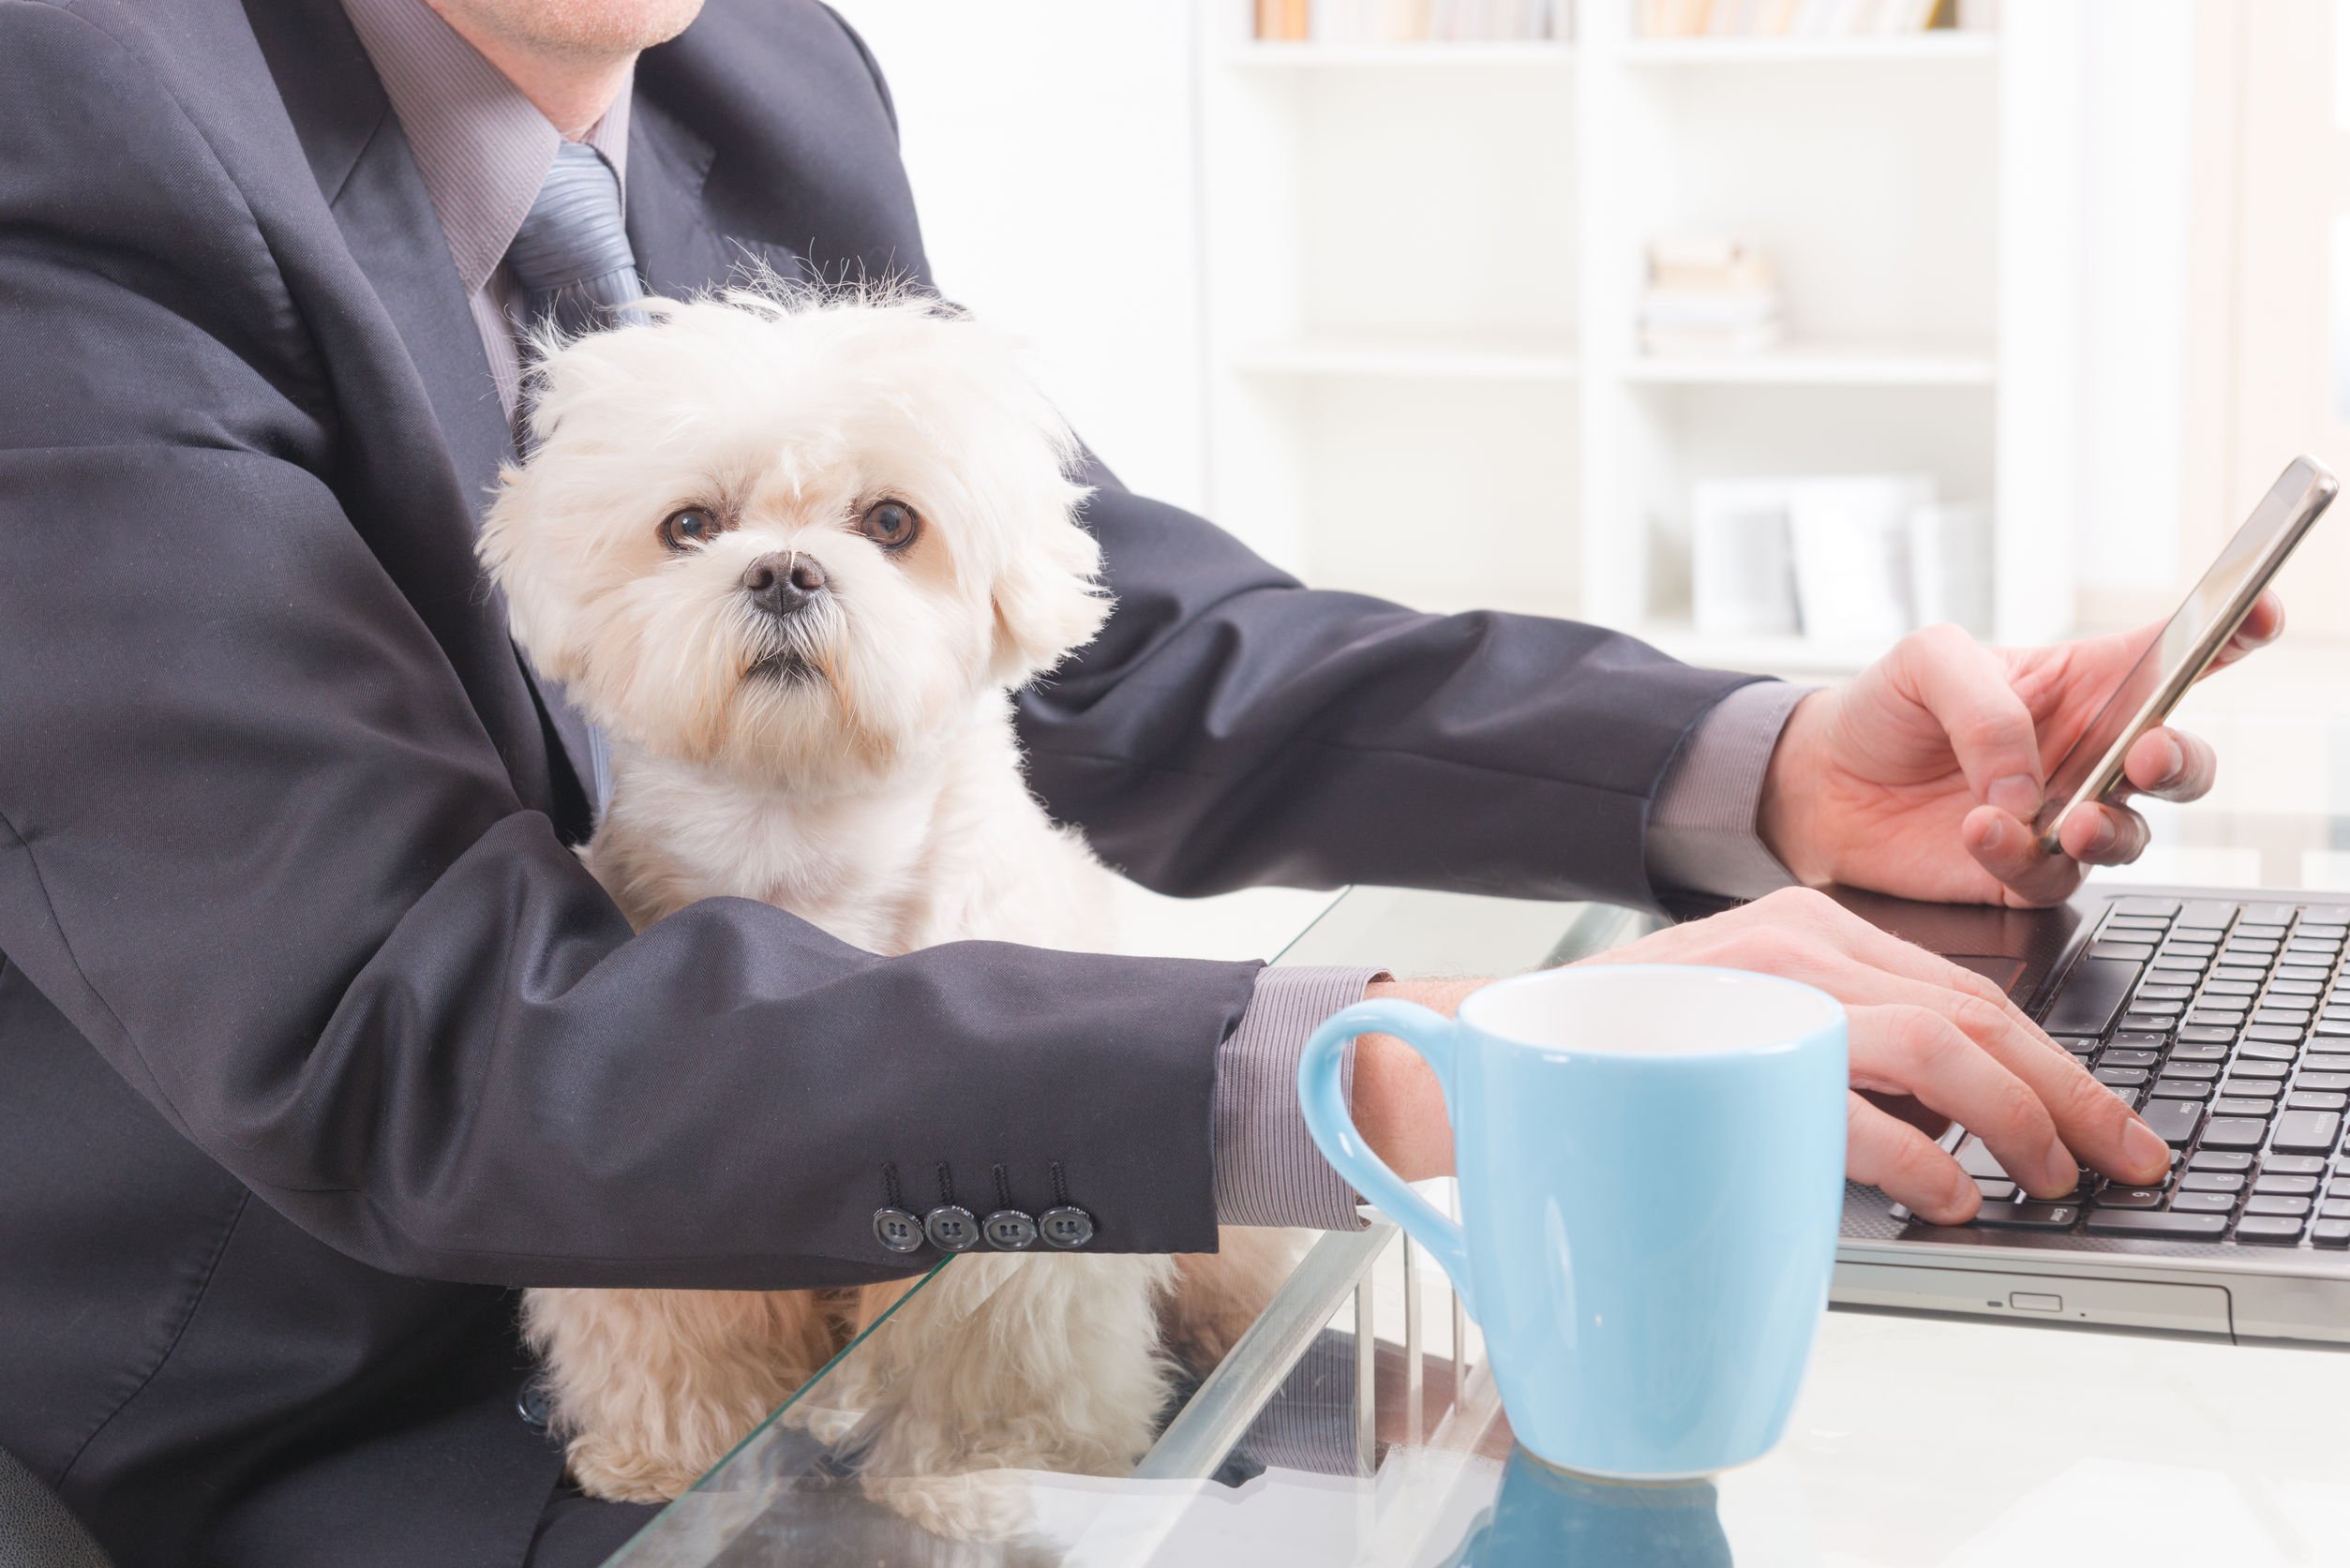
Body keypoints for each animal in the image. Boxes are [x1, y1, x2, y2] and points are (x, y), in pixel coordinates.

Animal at [474, 288, 1287, 1523]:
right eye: (689, 525)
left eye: (892, 521)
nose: (783, 572)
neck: (807, 853)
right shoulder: (625, 1193)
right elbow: (673, 1324)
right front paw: (665, 1456)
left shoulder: (1007, 1250)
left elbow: (993, 1356)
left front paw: (986, 1475)